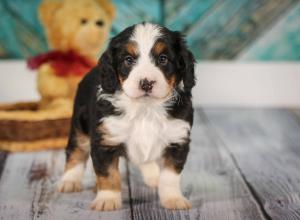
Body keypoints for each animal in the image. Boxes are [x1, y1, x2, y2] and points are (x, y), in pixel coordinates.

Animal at [57, 22, 196, 211]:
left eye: (163, 59)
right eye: (128, 60)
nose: (146, 83)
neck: (145, 109)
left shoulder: (177, 139)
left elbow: (170, 176)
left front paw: (173, 199)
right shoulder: (105, 141)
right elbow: (108, 174)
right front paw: (107, 199)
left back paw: (153, 176)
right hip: (80, 126)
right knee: (76, 152)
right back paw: (69, 181)